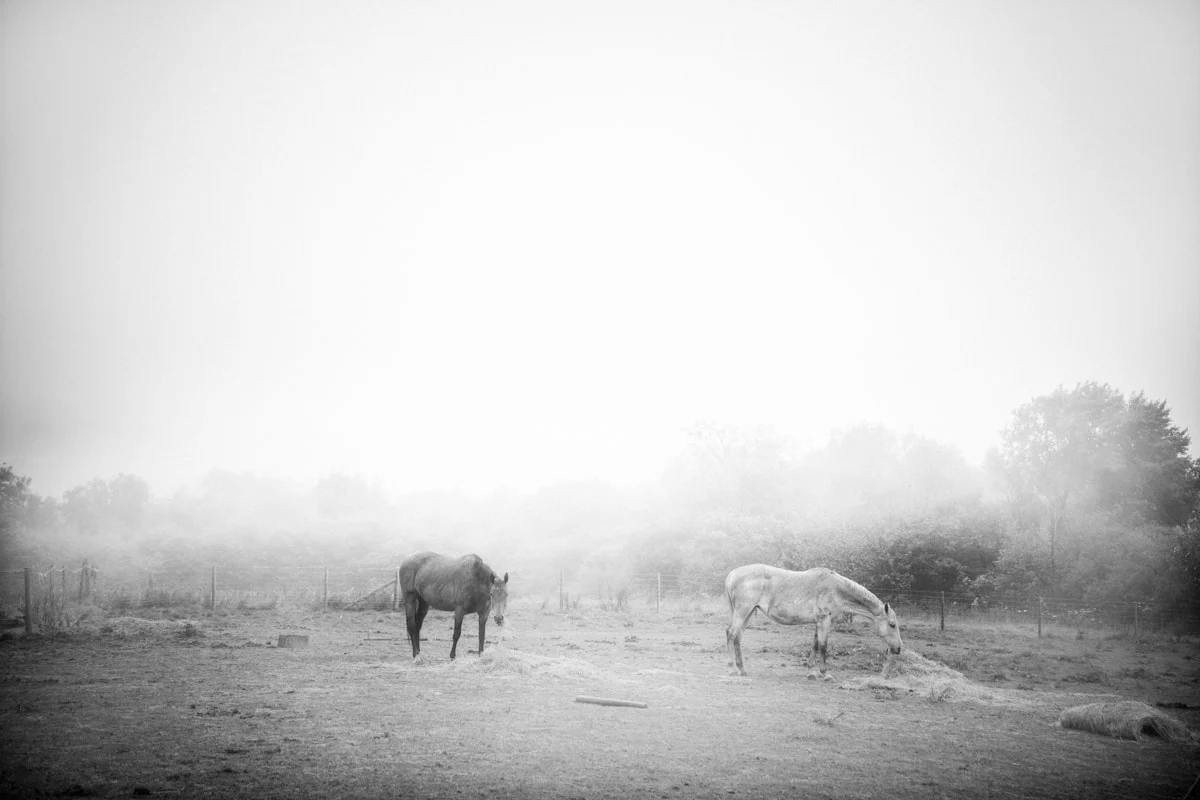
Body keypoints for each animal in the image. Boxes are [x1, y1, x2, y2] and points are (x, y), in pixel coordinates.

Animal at [725, 564, 902, 679]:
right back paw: (732, 668)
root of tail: (732, 574)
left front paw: (811, 672)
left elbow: (815, 645)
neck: (837, 590)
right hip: (743, 612)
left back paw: (742, 669)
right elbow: (823, 646)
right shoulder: (825, 621)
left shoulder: (819, 622)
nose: (898, 649)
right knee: (731, 633)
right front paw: (825, 673)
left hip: (747, 613)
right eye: (892, 624)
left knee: (738, 636)